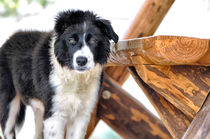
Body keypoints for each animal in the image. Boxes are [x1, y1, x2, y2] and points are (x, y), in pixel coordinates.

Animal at [0, 10, 118, 139]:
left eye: (93, 41)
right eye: (71, 40)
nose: (81, 61)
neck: (75, 77)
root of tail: (9, 39)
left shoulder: (82, 115)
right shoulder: (54, 115)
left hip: (39, 111)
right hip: (9, 104)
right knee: (8, 131)